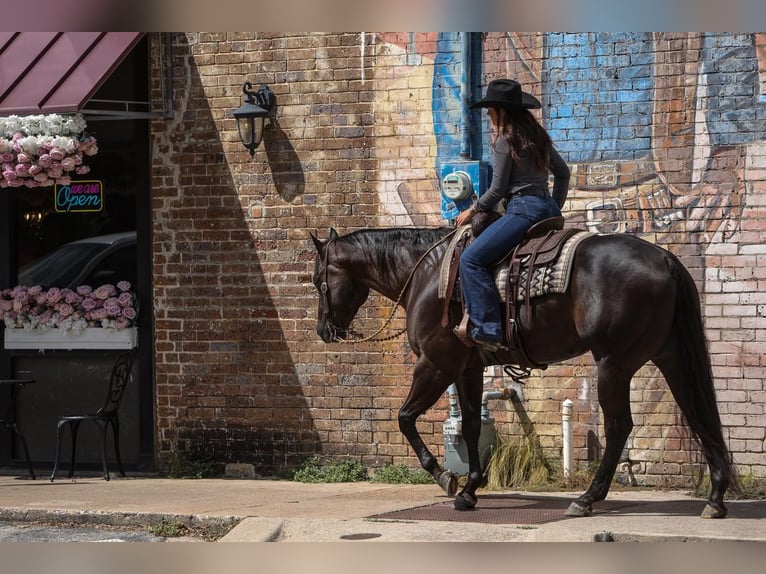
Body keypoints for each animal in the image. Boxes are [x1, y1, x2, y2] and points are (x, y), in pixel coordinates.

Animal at [308, 227, 740, 520]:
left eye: (318, 281)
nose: (324, 331)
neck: (428, 275)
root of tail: (664, 259)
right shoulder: (468, 368)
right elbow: (469, 426)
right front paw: (470, 488)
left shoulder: (435, 362)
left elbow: (405, 418)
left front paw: (444, 477)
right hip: (670, 356)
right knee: (699, 413)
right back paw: (716, 498)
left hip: (613, 363)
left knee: (619, 425)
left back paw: (587, 498)